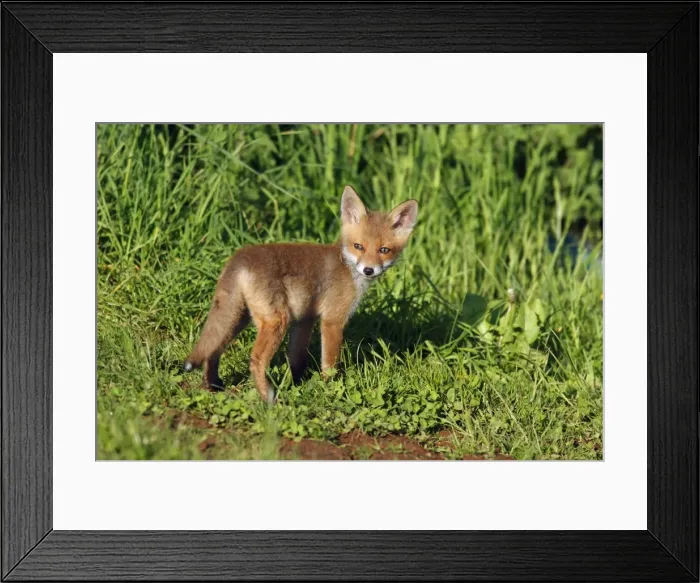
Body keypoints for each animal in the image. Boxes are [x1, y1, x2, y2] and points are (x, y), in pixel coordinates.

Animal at [183, 185, 419, 404]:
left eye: (384, 250)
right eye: (358, 246)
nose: (369, 270)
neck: (347, 266)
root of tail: (240, 256)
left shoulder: (305, 319)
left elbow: (296, 359)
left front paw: (298, 385)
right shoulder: (332, 320)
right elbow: (329, 364)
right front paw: (329, 389)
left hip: (238, 318)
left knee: (213, 350)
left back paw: (213, 385)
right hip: (276, 321)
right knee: (255, 360)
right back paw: (268, 398)